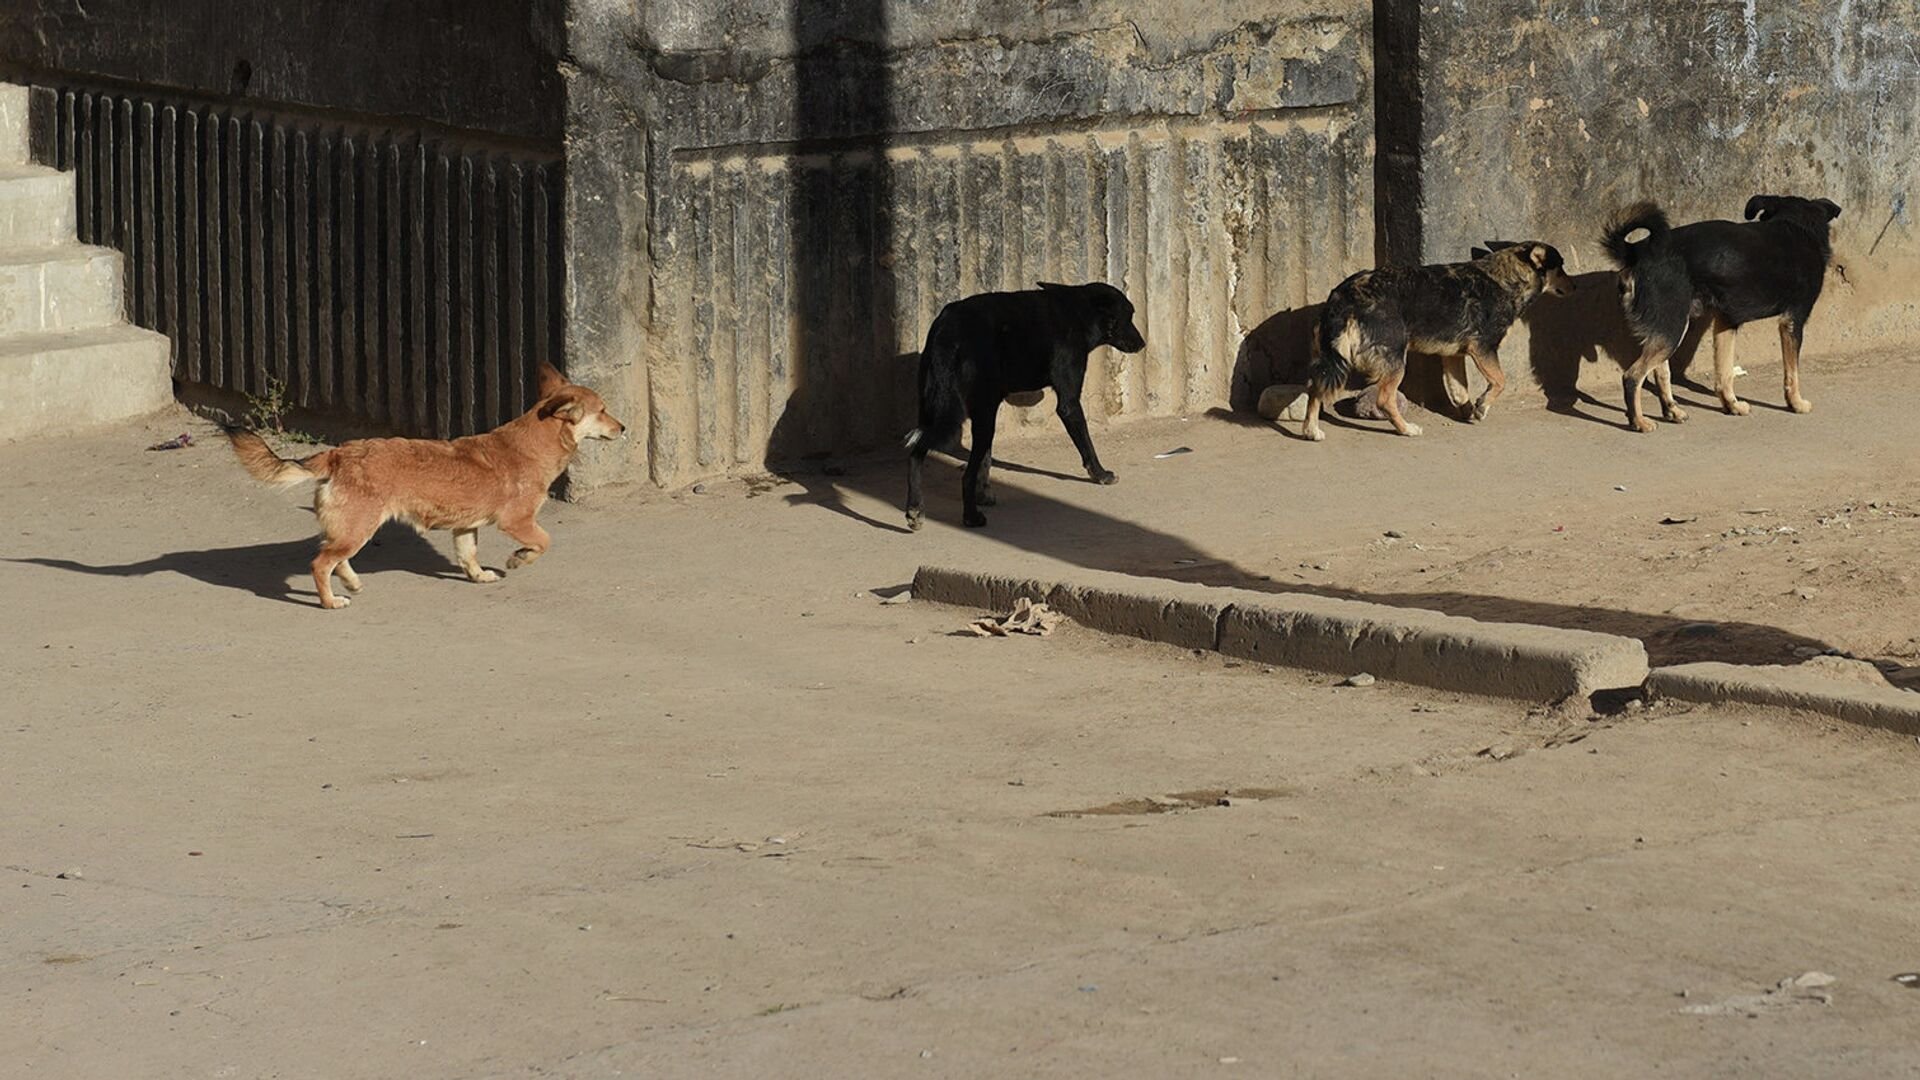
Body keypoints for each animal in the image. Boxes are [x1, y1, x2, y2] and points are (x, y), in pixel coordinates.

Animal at [228, 361, 625, 607]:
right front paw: (519, 558)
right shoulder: (518, 522)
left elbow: (468, 556)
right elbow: (544, 541)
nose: (623, 428)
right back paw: (330, 601)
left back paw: (351, 582)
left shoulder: (465, 527)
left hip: (350, 530)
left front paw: (479, 576)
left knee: (334, 557)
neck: (529, 444)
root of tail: (340, 453)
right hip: (358, 528)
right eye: (603, 410)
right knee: (320, 563)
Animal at [906, 278, 1144, 526]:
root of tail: (947, 327)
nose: (1143, 344)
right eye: (1128, 316)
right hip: (968, 416)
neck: (1079, 312)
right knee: (965, 476)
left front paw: (984, 493)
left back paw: (915, 508)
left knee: (916, 453)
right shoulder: (1068, 402)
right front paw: (1100, 474)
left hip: (936, 412)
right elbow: (1086, 442)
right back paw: (971, 516)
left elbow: (985, 461)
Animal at [1297, 242, 1582, 440]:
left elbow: (1460, 390)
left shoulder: (1453, 356)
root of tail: (1344, 295)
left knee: (1314, 388)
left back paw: (1311, 430)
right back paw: (1406, 429)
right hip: (1395, 360)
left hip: (1331, 361)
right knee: (1384, 399)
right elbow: (1500, 382)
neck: (1506, 276)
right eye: (1561, 267)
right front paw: (1482, 407)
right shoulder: (1483, 348)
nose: (1576, 287)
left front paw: (1470, 412)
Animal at [1597, 193, 1835, 428]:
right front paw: (1796, 403)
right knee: (1632, 376)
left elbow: (1724, 372)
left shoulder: (1726, 321)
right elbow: (1792, 372)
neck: (1795, 224)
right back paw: (1639, 422)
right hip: (1674, 326)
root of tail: (1638, 252)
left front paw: (1732, 405)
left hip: (1667, 327)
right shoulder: (1793, 320)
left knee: (1661, 372)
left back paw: (1672, 411)